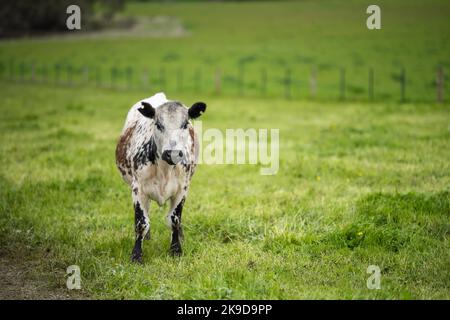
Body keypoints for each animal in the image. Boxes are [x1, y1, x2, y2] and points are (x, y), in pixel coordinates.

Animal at [116, 92, 207, 262]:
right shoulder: (138, 189)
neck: (165, 169)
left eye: (185, 124)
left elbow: (174, 219)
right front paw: (136, 255)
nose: (173, 153)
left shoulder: (182, 190)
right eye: (158, 124)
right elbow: (141, 222)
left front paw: (176, 250)